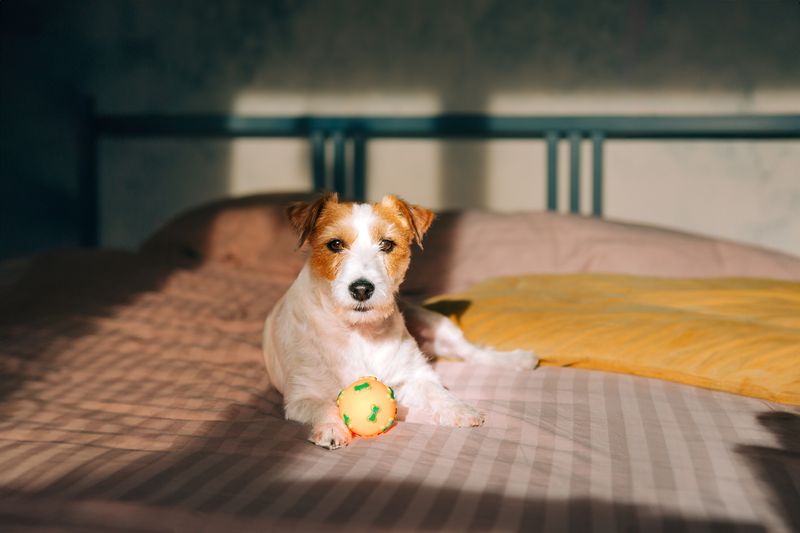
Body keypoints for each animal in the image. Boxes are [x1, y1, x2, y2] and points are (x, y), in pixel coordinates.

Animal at [264, 192, 536, 448]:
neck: (358, 332)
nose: (361, 289)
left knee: (471, 352)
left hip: (436, 324)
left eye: (386, 244)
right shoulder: (300, 397)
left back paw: (516, 359)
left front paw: (459, 409)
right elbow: (325, 406)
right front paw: (331, 428)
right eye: (335, 244)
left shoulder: (416, 376)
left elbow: (438, 393)